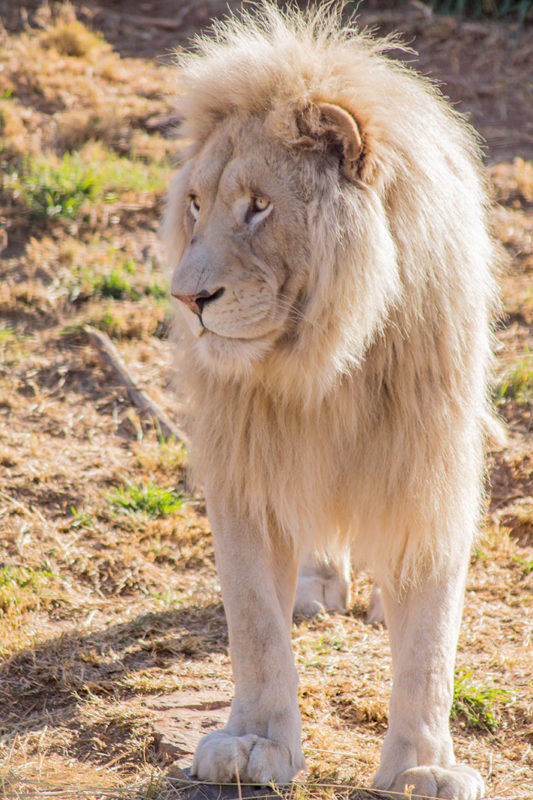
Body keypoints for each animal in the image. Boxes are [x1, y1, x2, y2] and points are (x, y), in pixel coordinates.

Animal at [163, 3, 498, 796]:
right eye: (195, 205)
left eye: (259, 207)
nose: (187, 299)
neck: (324, 363)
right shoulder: (248, 472)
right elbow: (254, 623)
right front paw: (254, 743)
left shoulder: (429, 471)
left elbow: (431, 644)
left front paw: (424, 767)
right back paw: (317, 582)